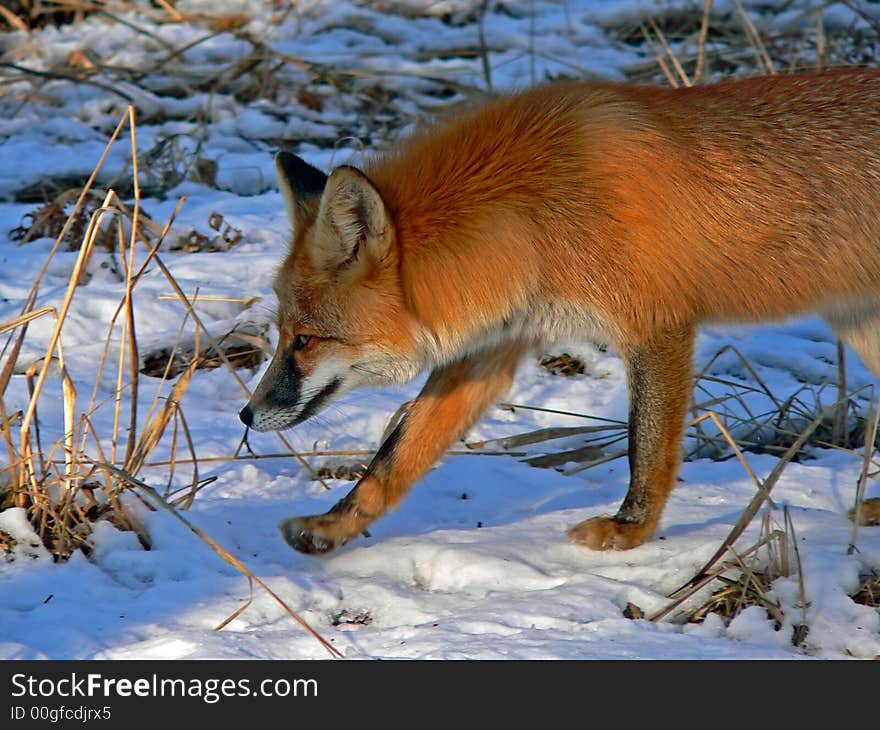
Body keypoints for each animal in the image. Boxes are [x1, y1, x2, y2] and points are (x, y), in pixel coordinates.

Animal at [239, 72, 880, 552]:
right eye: (283, 333)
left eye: (306, 339)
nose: (246, 414)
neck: (535, 213)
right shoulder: (493, 348)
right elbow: (396, 455)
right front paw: (334, 526)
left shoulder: (657, 324)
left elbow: (645, 447)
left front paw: (630, 530)